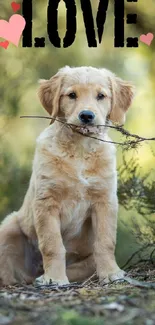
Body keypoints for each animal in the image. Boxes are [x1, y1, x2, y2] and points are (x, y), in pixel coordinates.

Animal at [0, 66, 134, 284]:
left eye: (101, 96)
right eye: (72, 95)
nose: (86, 115)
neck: (80, 149)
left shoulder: (105, 200)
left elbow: (106, 241)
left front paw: (111, 273)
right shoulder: (46, 201)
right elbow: (52, 244)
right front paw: (54, 278)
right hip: (8, 227)